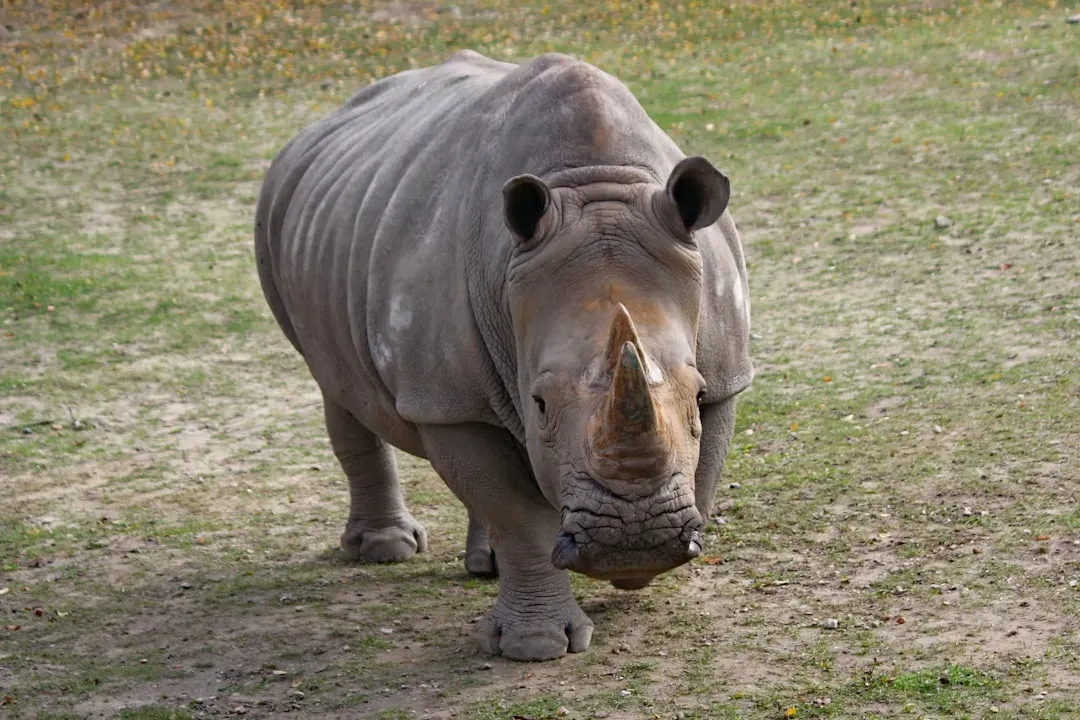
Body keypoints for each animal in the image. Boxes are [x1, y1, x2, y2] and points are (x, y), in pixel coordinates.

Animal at [254, 50, 752, 662]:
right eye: (538, 403)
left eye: (698, 394)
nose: (632, 538)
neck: (591, 182)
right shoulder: (445, 401)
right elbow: (515, 516)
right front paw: (534, 647)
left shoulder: (727, 369)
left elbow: (701, 469)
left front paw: (636, 570)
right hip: (282, 229)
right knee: (336, 387)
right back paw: (386, 549)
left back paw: (483, 567)